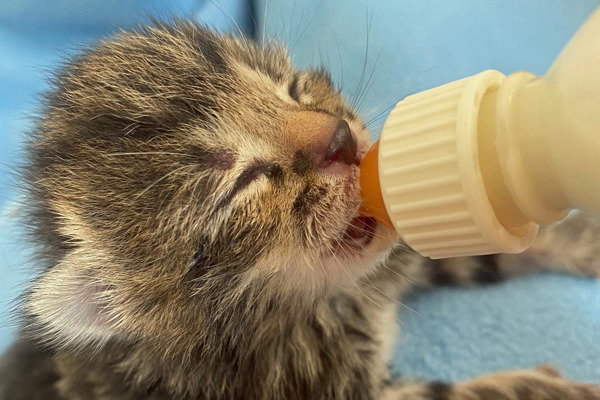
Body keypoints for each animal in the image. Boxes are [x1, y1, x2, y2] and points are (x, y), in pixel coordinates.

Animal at [1, 19, 600, 400]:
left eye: (291, 87)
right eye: (243, 181)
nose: (339, 138)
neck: (327, 303)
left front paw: (577, 240)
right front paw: (549, 389)